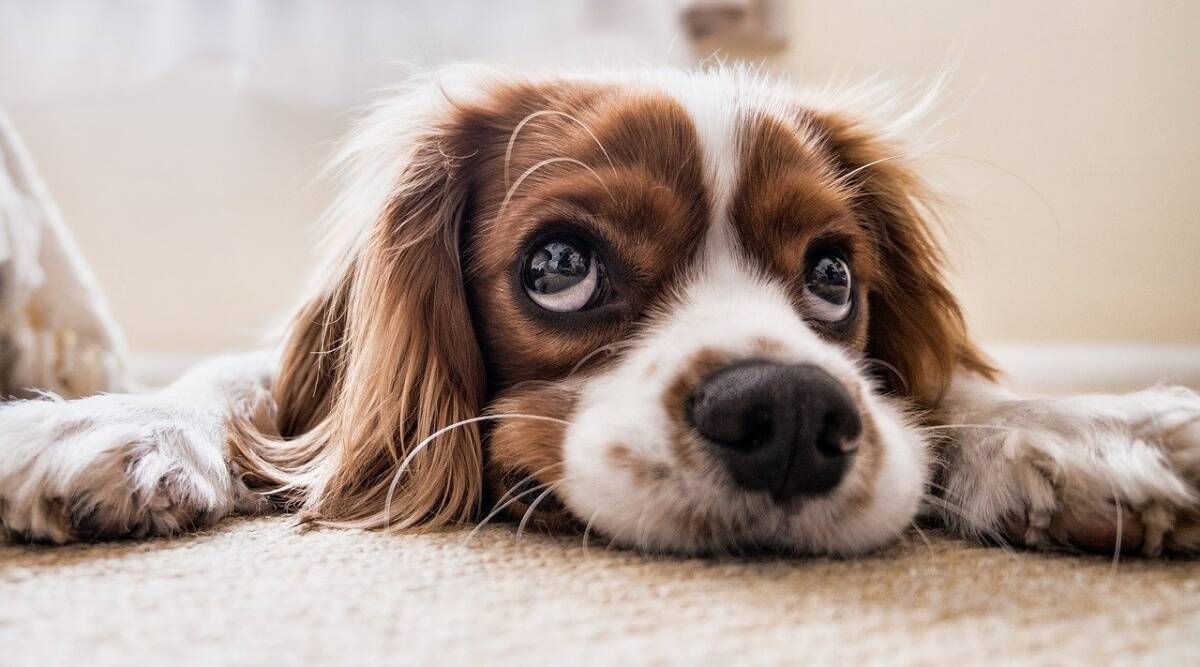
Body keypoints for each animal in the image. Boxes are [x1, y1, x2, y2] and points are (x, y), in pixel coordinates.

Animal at [2, 66, 1200, 556]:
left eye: (832, 277)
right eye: (560, 265)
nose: (791, 414)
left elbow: (950, 392)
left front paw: (1084, 430)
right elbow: (241, 383)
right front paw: (106, 423)